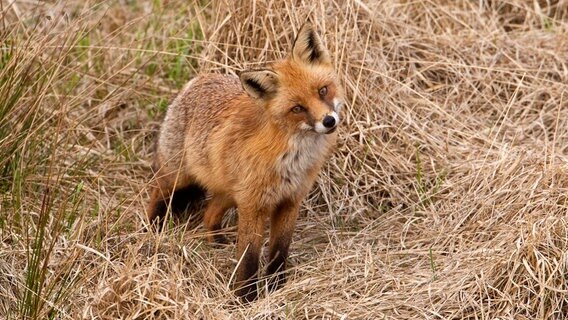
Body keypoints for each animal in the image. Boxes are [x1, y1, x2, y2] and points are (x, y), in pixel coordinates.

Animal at [146, 22, 344, 302]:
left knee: (209, 215)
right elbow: (248, 258)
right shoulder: (254, 206)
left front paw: (276, 287)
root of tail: (198, 79)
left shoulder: (290, 201)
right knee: (157, 195)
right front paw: (245, 299)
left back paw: (216, 242)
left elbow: (279, 251)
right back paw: (152, 230)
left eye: (322, 90)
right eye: (298, 108)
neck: (293, 160)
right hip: (177, 179)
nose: (328, 121)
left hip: (230, 194)